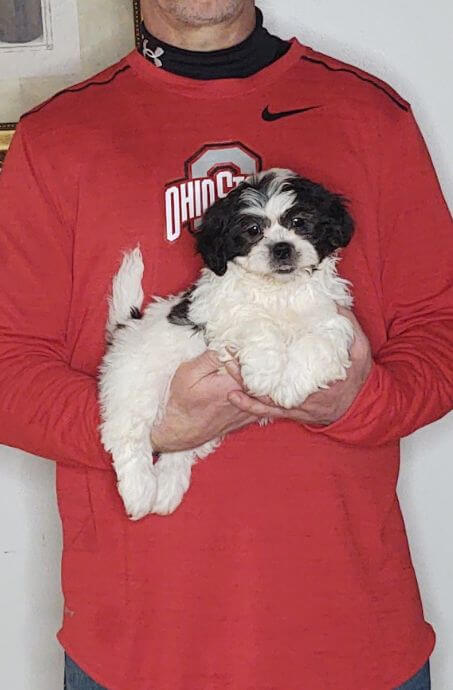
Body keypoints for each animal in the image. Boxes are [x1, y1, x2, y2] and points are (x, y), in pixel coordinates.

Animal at [98, 169, 354, 520]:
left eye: (300, 222)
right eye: (253, 230)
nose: (281, 248)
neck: (279, 291)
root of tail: (127, 328)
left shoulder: (332, 317)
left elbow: (320, 344)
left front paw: (290, 386)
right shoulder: (219, 315)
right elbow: (256, 323)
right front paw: (266, 374)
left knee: (180, 450)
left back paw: (167, 490)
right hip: (138, 383)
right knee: (127, 433)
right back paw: (141, 491)